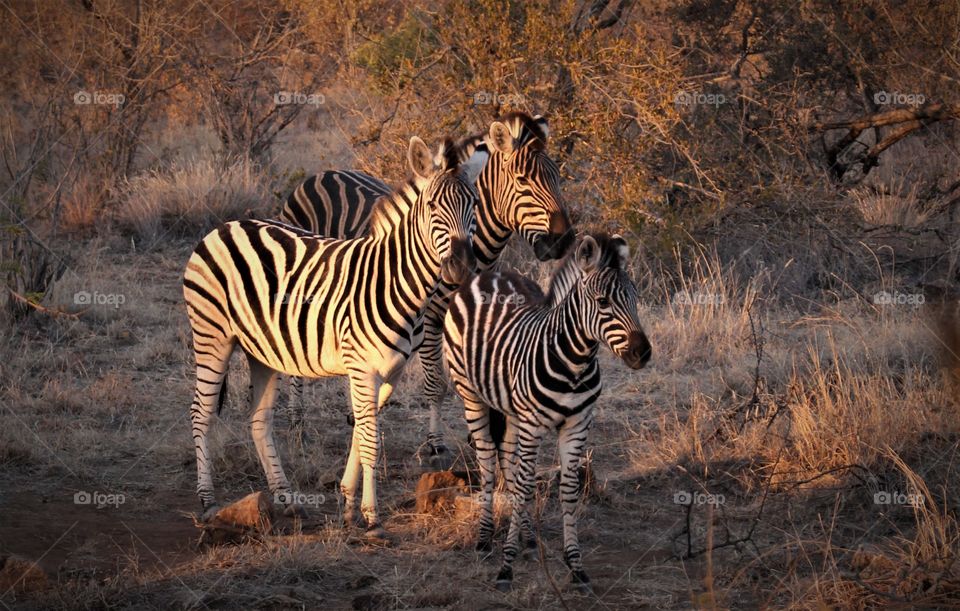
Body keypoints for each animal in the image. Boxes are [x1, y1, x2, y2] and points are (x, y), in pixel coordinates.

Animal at [183, 136, 484, 536]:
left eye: (475, 205)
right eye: (433, 206)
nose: (461, 267)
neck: (394, 281)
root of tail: (224, 226)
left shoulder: (391, 371)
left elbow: (361, 428)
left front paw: (347, 502)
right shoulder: (362, 368)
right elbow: (370, 440)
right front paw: (372, 518)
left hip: (261, 349)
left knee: (259, 420)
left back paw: (286, 498)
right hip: (211, 335)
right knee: (200, 413)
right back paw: (207, 501)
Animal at [282, 113, 572, 468]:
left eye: (557, 177)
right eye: (523, 181)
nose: (564, 240)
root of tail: (322, 174)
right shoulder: (431, 319)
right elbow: (436, 385)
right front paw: (436, 444)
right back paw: (297, 424)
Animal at [442, 234, 652, 592]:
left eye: (636, 299)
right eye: (603, 302)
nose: (643, 353)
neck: (575, 363)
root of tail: (487, 275)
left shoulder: (578, 424)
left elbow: (567, 489)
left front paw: (576, 567)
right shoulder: (533, 424)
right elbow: (526, 486)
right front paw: (506, 568)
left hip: (511, 408)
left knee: (508, 461)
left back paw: (527, 537)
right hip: (471, 394)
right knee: (488, 463)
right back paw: (484, 540)